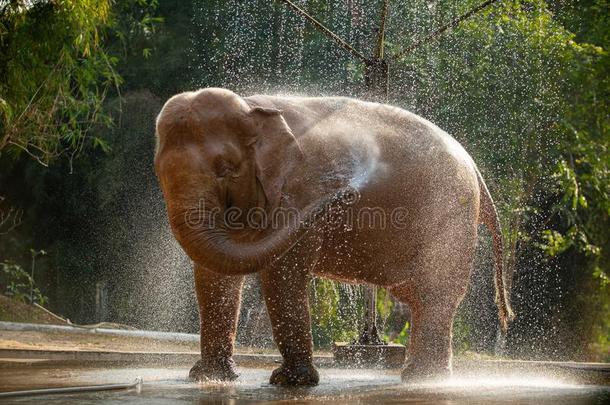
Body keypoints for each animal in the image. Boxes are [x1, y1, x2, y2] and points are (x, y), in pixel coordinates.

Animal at [154, 87, 510, 386]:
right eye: (158, 171)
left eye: (225, 168)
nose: (346, 190)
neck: (253, 108)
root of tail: (475, 171)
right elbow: (214, 277)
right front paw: (209, 378)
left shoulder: (298, 189)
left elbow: (283, 274)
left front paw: (289, 382)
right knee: (418, 295)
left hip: (450, 216)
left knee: (435, 295)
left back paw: (423, 379)